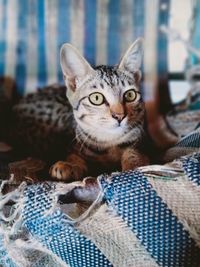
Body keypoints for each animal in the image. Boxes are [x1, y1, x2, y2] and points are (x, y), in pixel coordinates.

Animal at [3, 38, 150, 182]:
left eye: (130, 95)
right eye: (96, 98)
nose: (119, 116)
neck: (109, 143)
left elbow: (135, 154)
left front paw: (132, 166)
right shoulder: (72, 144)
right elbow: (74, 155)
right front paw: (70, 165)